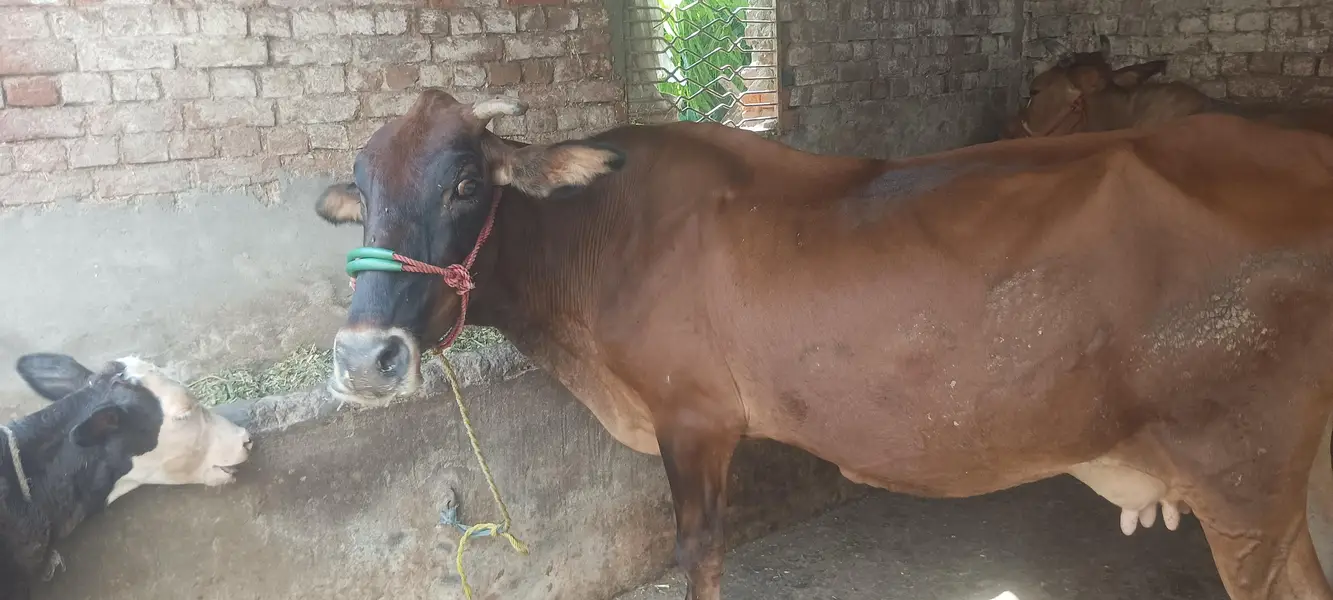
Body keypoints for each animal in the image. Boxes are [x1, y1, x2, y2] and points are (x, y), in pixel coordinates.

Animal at [314, 87, 1333, 600]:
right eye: (358, 190)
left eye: (462, 183)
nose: (365, 358)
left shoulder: (693, 418)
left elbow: (698, 552)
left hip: (1240, 474)